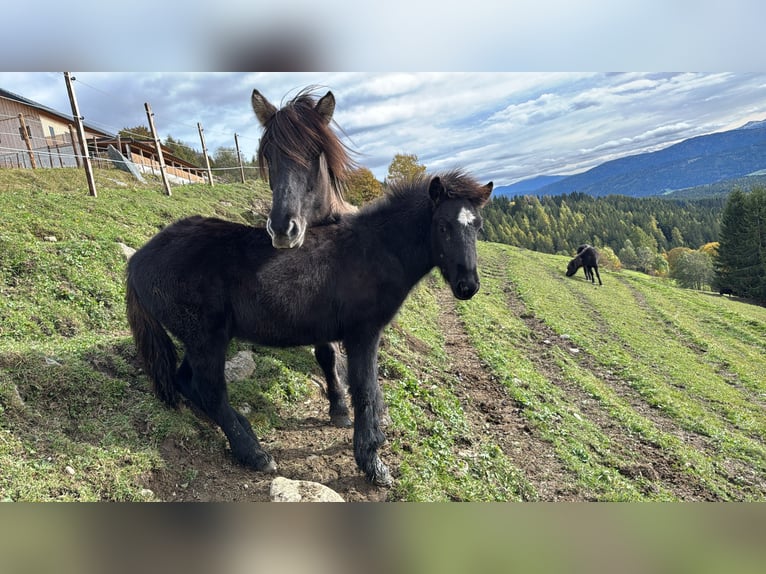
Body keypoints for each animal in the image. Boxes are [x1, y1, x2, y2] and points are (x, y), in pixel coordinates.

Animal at [127, 170, 492, 486]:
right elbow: (366, 390)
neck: (375, 250)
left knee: (186, 381)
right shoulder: (363, 334)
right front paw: (373, 463)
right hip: (206, 338)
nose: (468, 286)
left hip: (199, 340)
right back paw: (254, 453)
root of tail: (137, 259)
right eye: (442, 226)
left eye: (477, 226)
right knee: (210, 389)